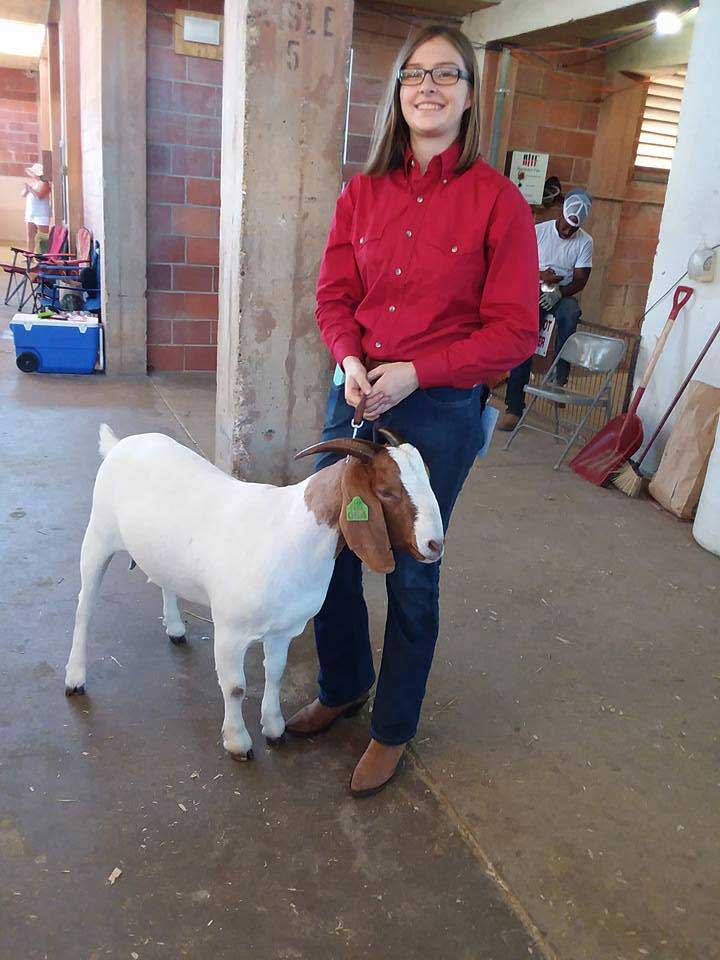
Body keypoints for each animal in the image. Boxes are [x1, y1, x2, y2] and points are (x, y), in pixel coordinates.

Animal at [64, 424, 444, 760]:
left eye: (428, 477)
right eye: (387, 491)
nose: (434, 545)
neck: (291, 533)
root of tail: (118, 445)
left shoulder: (283, 630)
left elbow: (275, 674)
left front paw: (274, 729)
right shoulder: (229, 631)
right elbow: (235, 687)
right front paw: (238, 743)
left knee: (163, 581)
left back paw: (175, 628)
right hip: (97, 538)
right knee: (84, 608)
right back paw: (75, 678)